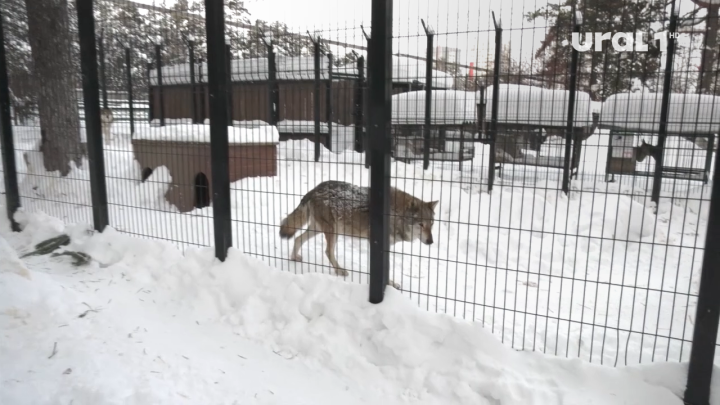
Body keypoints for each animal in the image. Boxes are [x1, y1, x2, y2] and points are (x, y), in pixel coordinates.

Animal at [280, 180, 438, 288]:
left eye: (431, 223)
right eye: (421, 224)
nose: (431, 241)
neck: (395, 215)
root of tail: (315, 188)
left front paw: (391, 284)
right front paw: (388, 284)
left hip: (318, 229)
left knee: (298, 239)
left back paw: (294, 258)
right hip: (333, 231)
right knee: (327, 251)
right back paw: (339, 271)